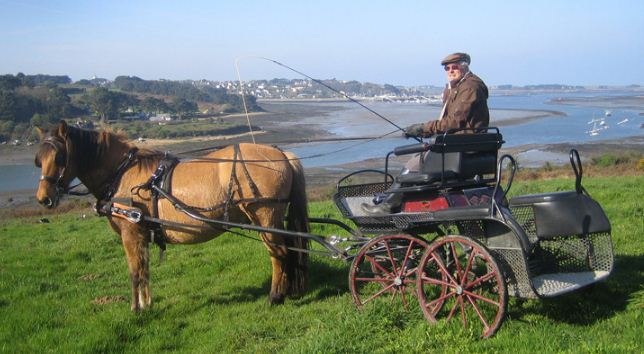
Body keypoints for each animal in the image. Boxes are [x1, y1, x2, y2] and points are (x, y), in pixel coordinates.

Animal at [34, 121, 310, 310]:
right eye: (39, 160)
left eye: (59, 157)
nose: (43, 198)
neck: (122, 174)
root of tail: (281, 154)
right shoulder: (141, 233)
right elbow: (144, 269)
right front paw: (147, 303)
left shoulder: (130, 232)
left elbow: (134, 271)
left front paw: (135, 309)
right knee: (287, 252)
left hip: (265, 217)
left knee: (279, 254)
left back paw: (275, 296)